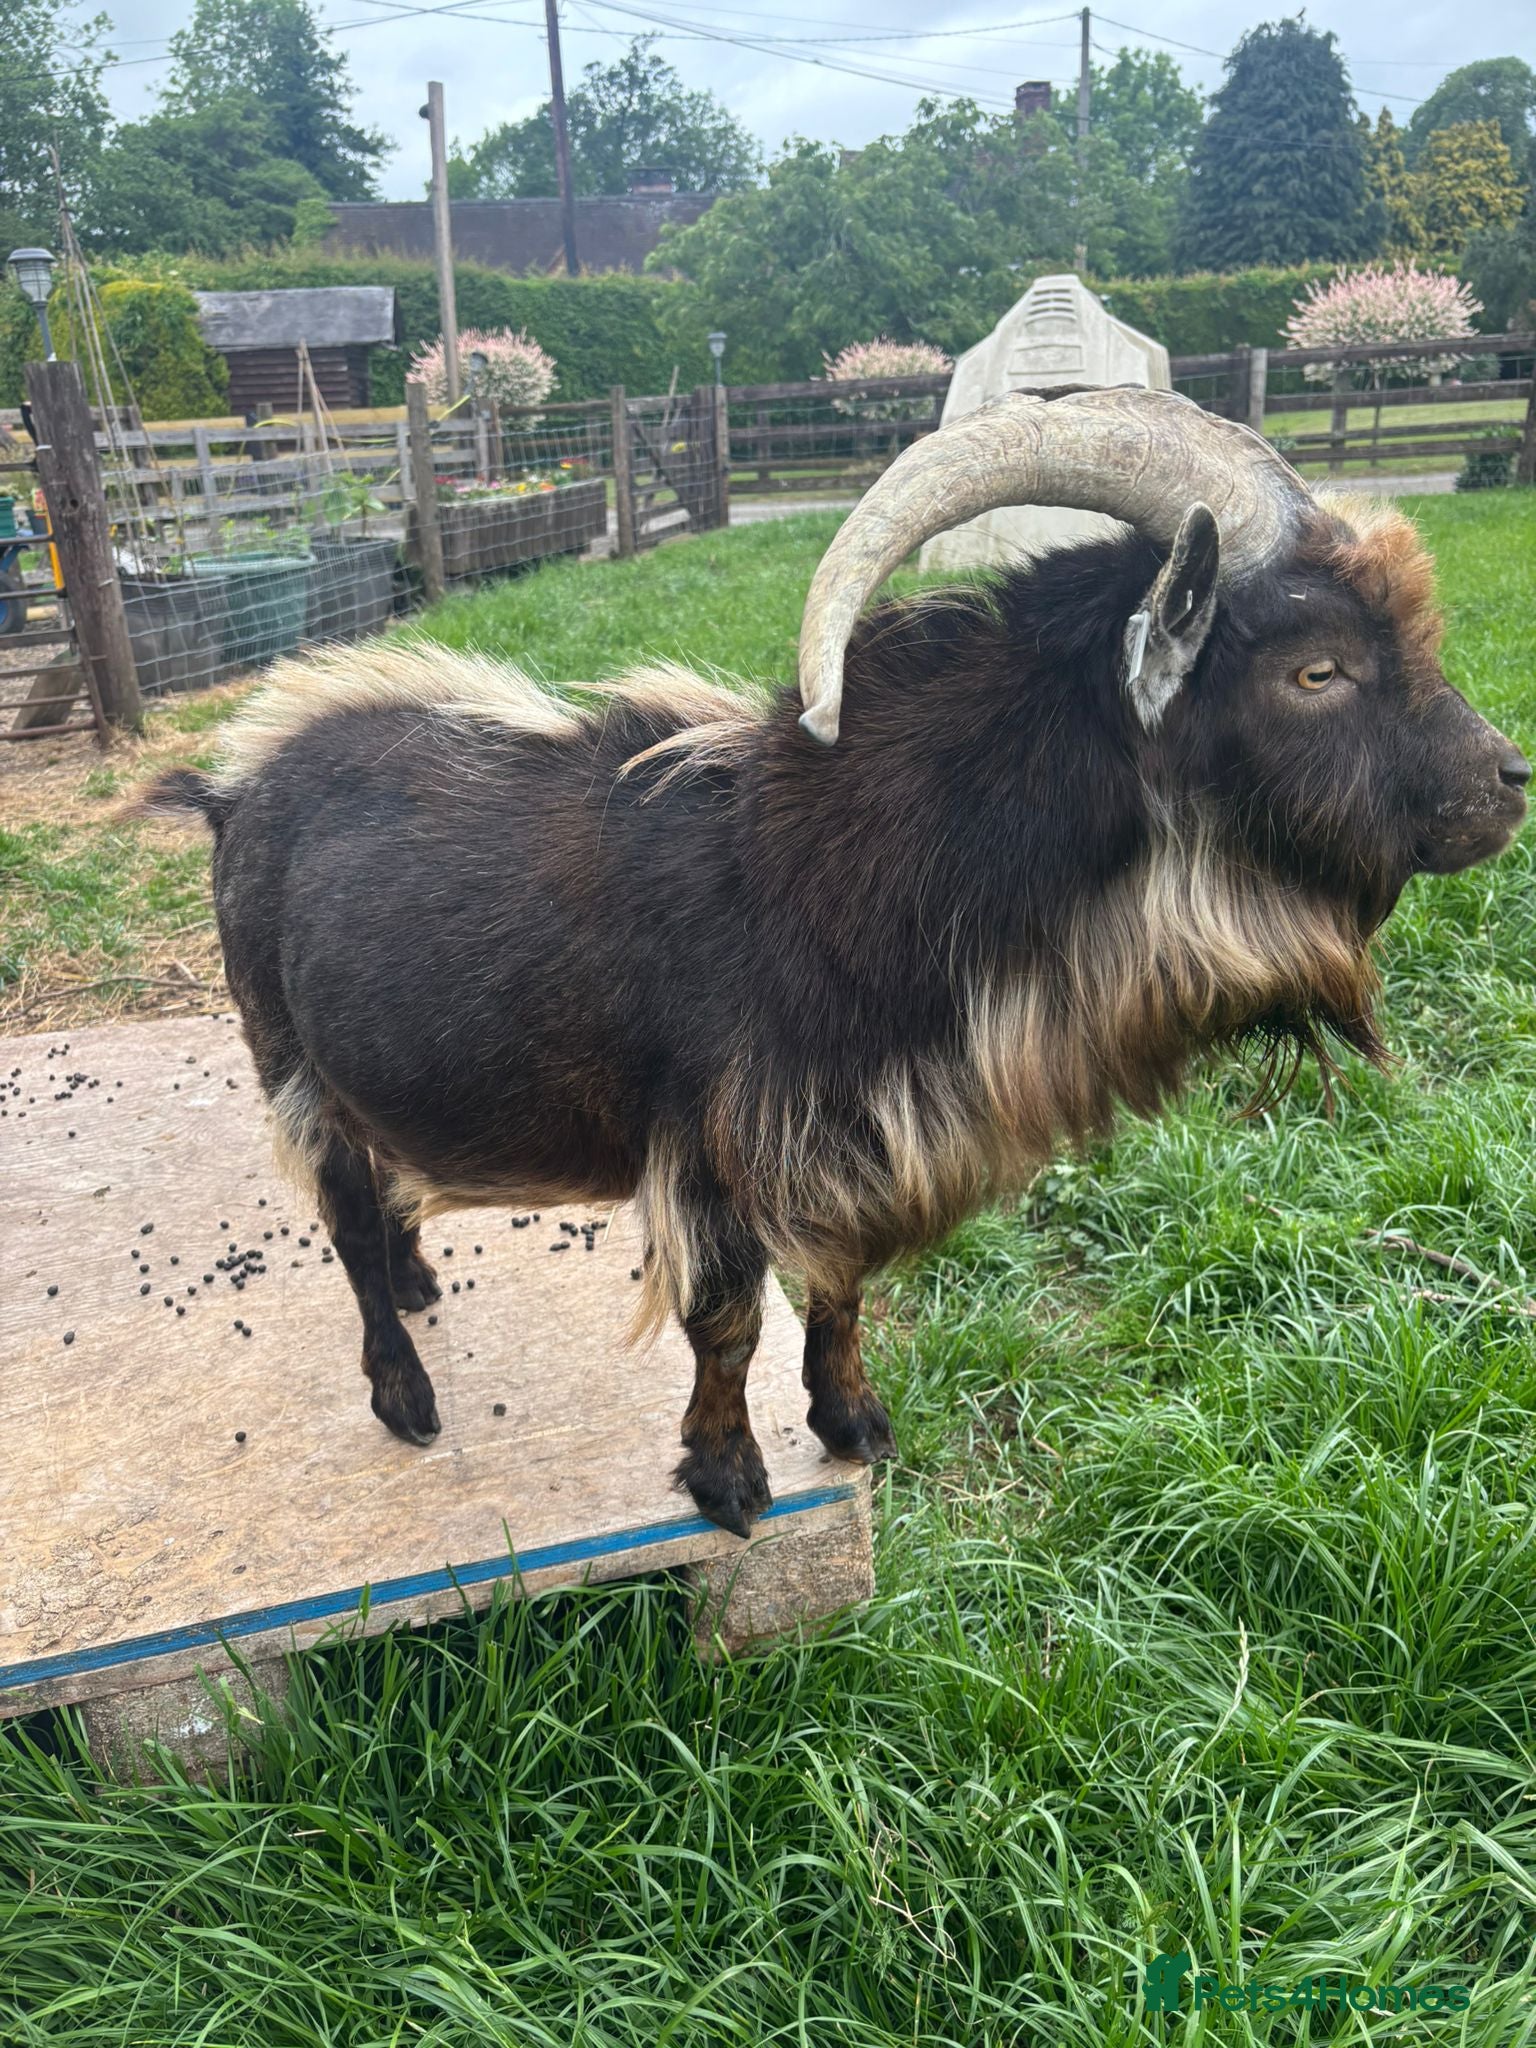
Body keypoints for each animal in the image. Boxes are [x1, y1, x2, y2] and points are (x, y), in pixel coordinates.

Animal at [151, 387, 1529, 1536]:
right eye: (1317, 668)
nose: (1506, 782)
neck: (827, 867)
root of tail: (235, 789)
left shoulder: (859, 1129)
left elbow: (844, 1283)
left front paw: (855, 1423)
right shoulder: (716, 1141)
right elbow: (725, 1320)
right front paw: (727, 1478)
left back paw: (425, 1278)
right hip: (283, 1053)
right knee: (340, 1208)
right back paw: (405, 1390)